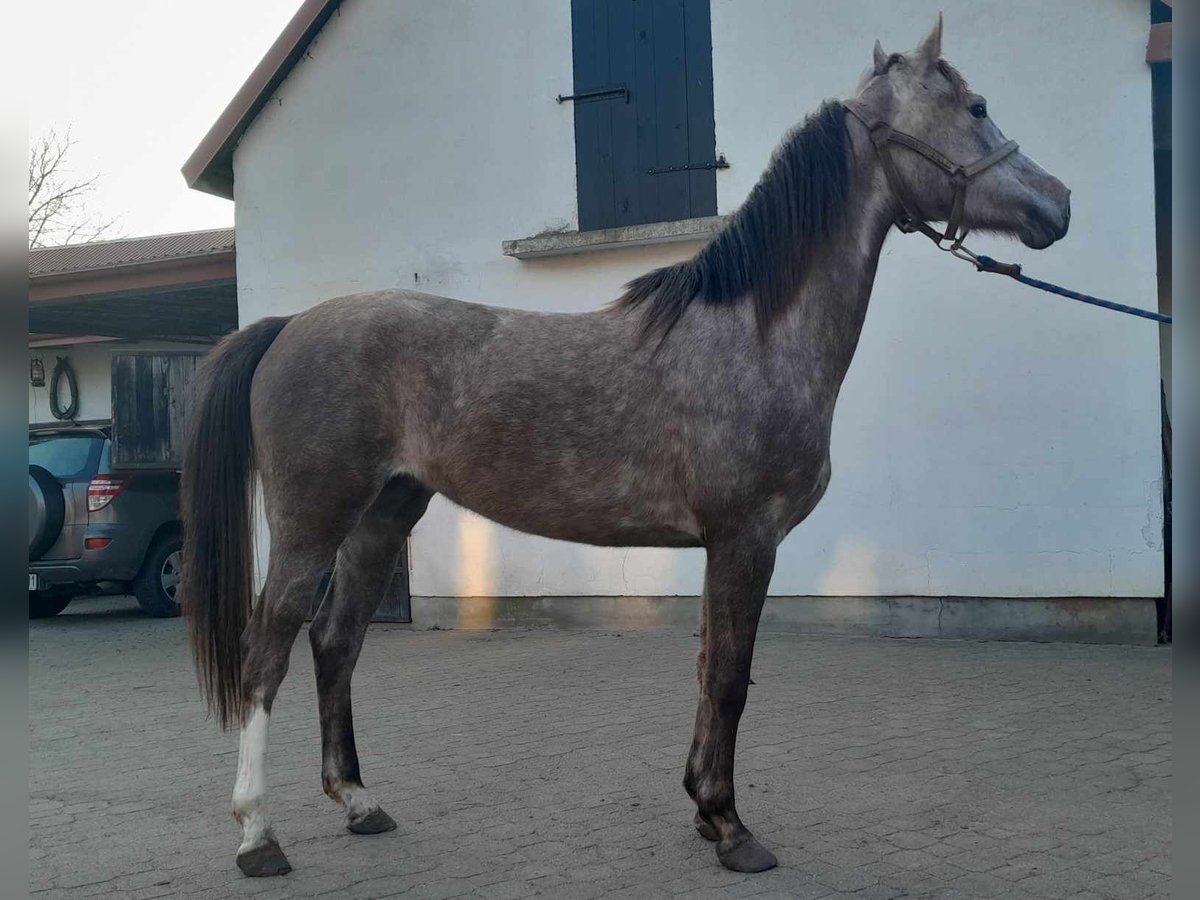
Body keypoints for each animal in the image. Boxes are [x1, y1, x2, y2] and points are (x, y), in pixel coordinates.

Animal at [184, 21, 1070, 883]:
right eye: (976, 106)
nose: (1059, 203)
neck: (755, 334)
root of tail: (287, 327)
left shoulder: (722, 545)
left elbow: (712, 666)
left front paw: (703, 807)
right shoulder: (746, 538)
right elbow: (729, 678)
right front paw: (731, 826)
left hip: (384, 514)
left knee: (336, 641)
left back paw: (360, 802)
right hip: (312, 520)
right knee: (268, 650)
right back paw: (258, 836)